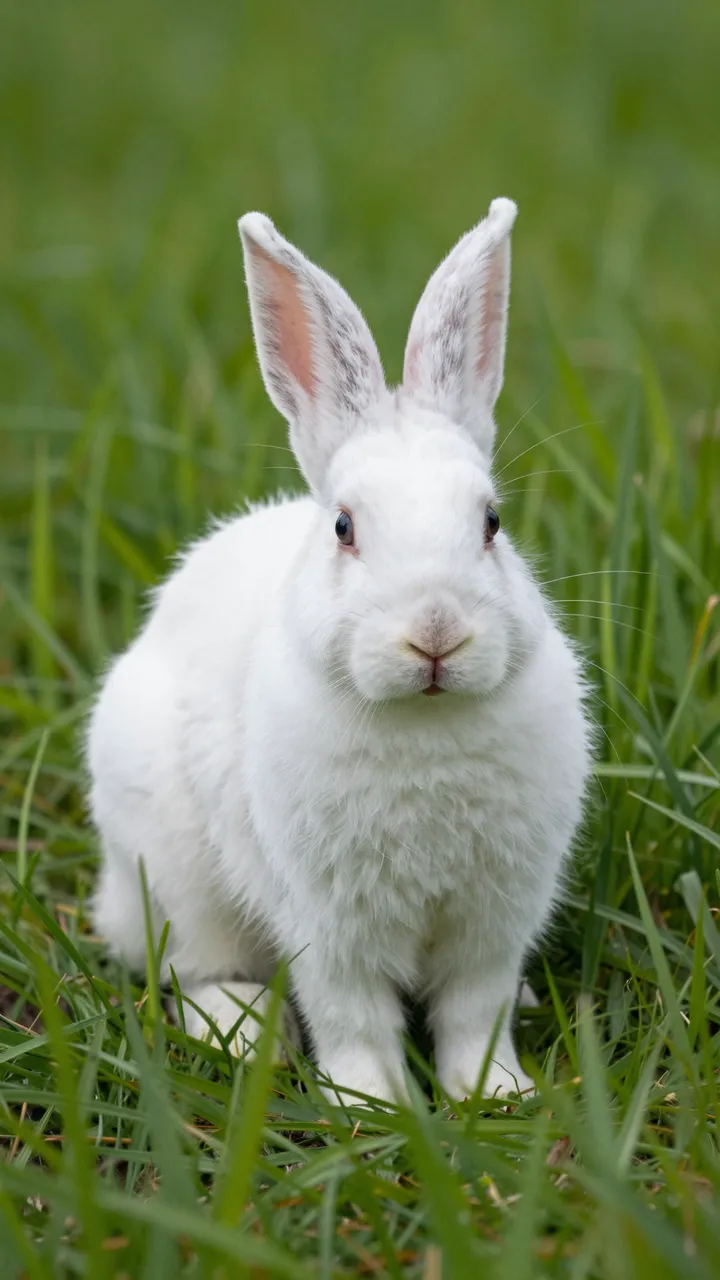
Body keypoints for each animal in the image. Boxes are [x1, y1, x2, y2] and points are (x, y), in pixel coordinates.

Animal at [87, 197, 592, 1103]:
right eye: (345, 528)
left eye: (491, 523)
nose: (435, 633)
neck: (424, 725)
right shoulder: (327, 923)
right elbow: (352, 1016)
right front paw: (373, 1106)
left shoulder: (493, 921)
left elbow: (475, 1009)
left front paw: (495, 1095)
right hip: (171, 872)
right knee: (198, 967)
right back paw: (241, 1031)